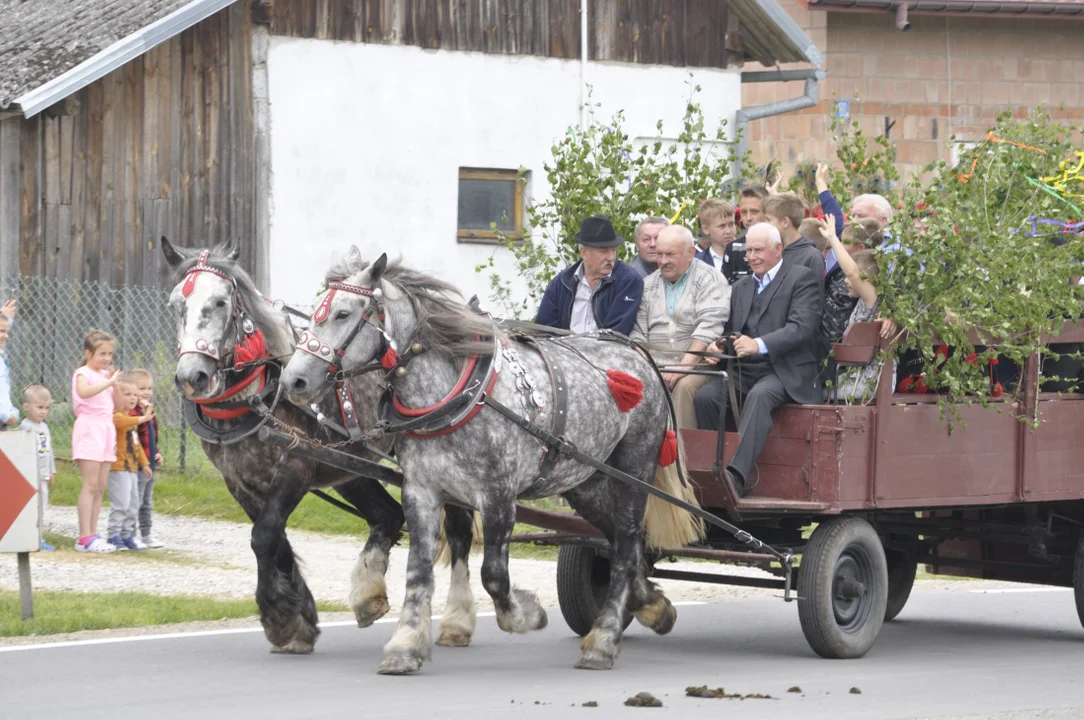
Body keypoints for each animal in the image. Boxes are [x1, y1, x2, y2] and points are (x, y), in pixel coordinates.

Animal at [161, 240, 479, 650]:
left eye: (219, 302)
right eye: (175, 303)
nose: (193, 376)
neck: (259, 395)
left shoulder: (296, 468)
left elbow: (264, 536)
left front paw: (280, 618)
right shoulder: (238, 482)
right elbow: (275, 540)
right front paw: (300, 618)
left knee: (457, 530)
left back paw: (457, 619)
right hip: (350, 469)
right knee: (387, 516)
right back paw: (368, 593)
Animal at [277, 250, 685, 672]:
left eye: (343, 314)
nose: (292, 381)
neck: (452, 394)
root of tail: (637, 354)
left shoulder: (498, 496)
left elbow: (494, 576)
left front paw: (528, 614)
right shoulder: (421, 491)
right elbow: (418, 571)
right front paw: (405, 645)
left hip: (633, 469)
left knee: (627, 543)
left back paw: (603, 640)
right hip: (585, 481)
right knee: (620, 541)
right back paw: (652, 605)